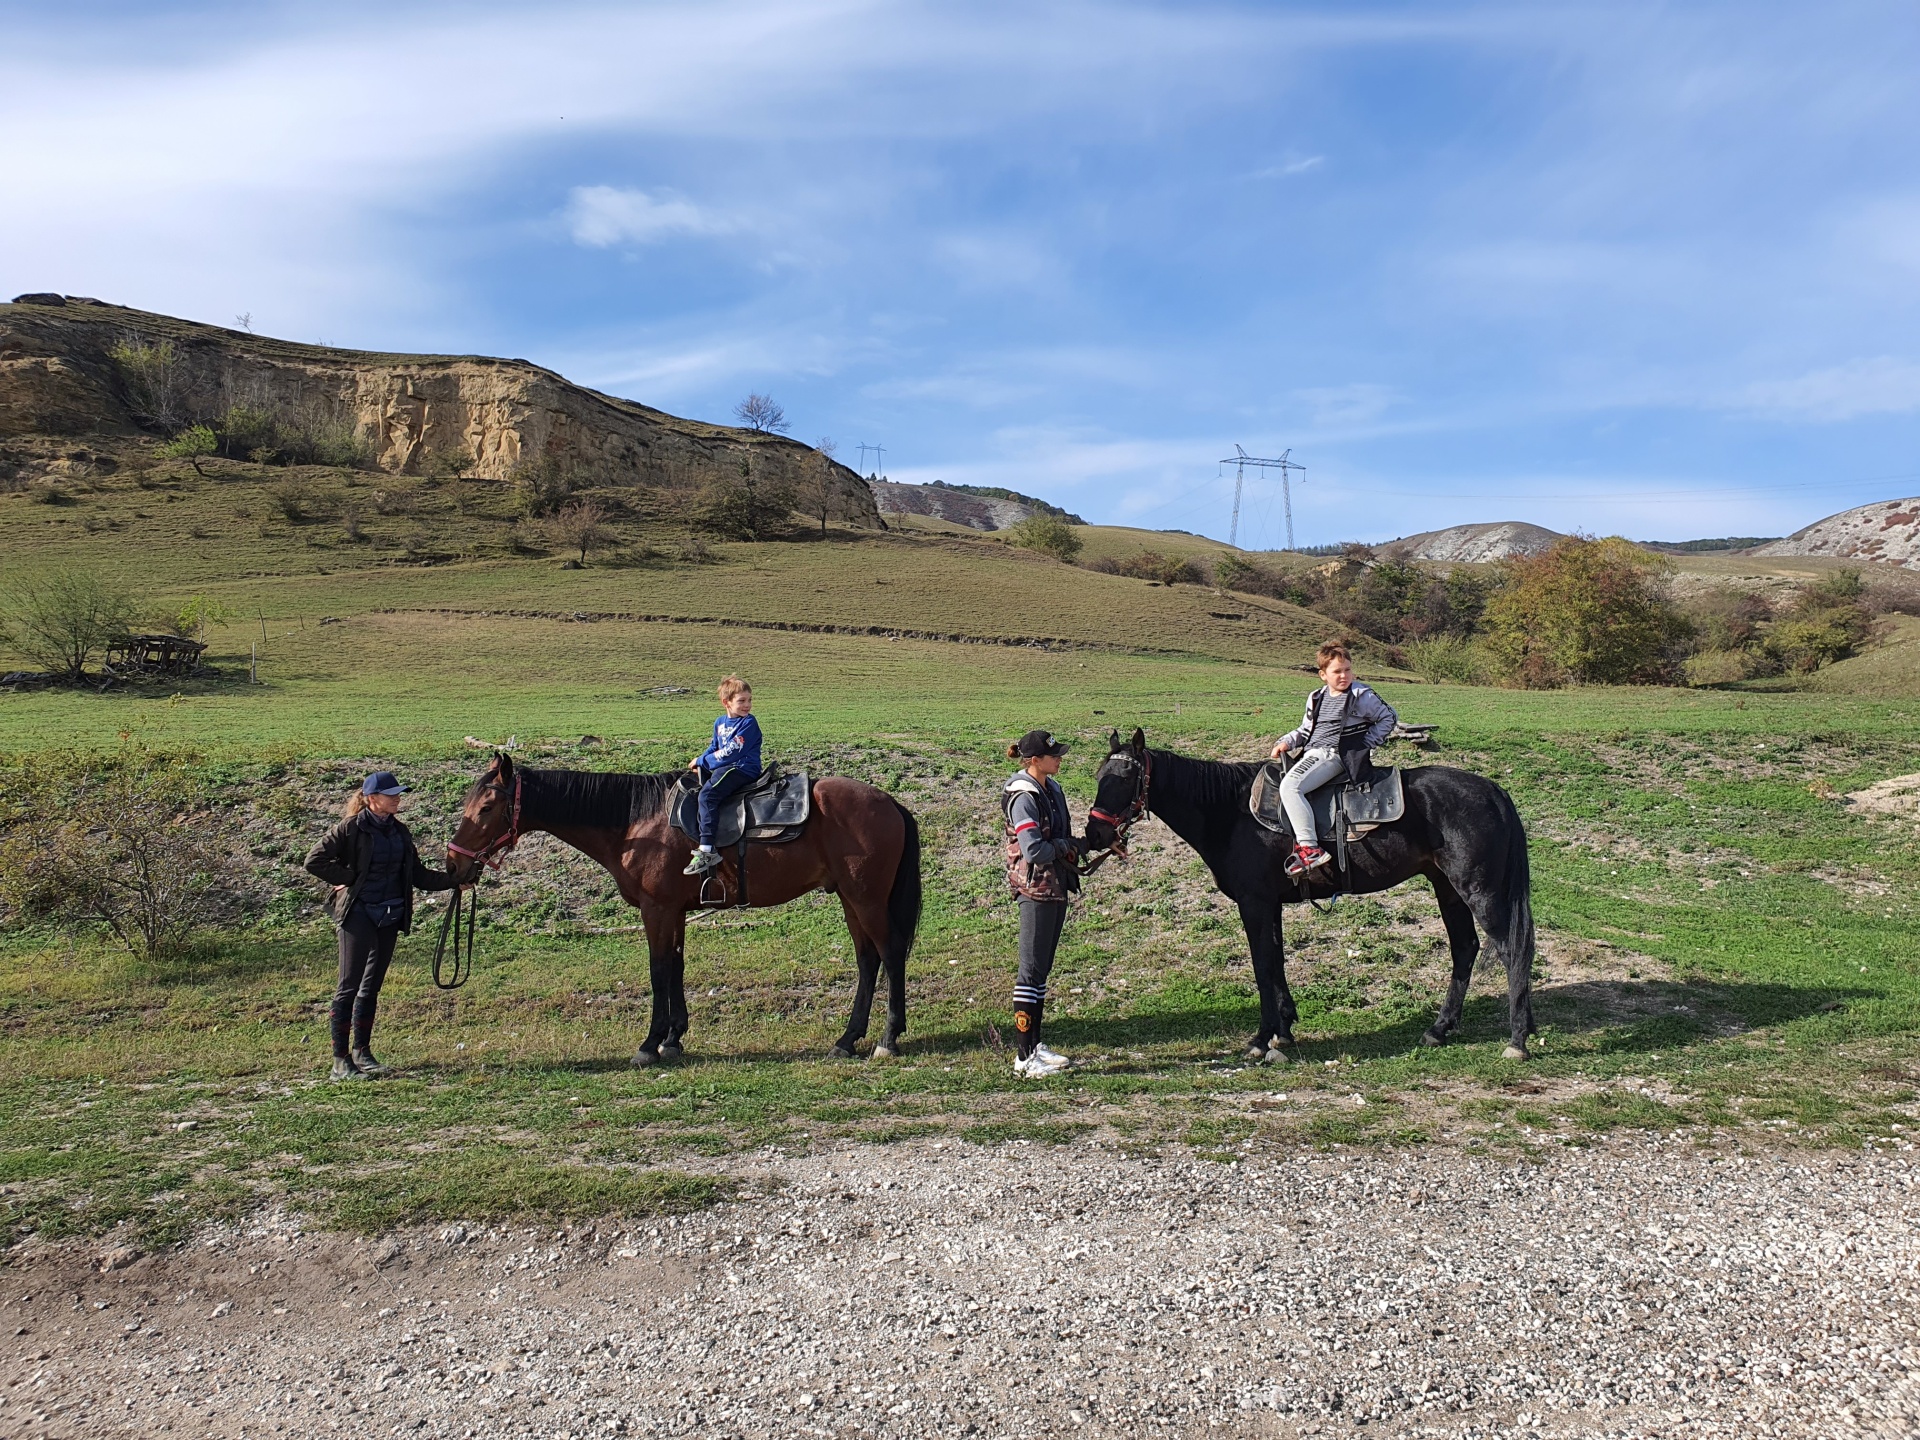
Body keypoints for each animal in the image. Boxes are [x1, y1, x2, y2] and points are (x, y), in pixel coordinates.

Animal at [443, 760, 921, 1067]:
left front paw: (649, 1043)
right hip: (850, 898)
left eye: (486, 808)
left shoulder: (656, 909)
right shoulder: (673, 911)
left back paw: (887, 1038)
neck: (636, 824)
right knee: (868, 960)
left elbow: (657, 970)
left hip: (866, 898)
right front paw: (673, 1038)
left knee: (890, 954)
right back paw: (847, 1039)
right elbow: (675, 967)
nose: (453, 867)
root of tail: (889, 802)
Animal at [1090, 733, 1536, 1059]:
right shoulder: (1270, 905)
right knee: (1465, 948)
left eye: (1125, 778)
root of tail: (1492, 790)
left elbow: (1262, 966)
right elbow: (1276, 963)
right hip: (1448, 888)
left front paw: (1261, 1038)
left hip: (1479, 891)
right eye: (1099, 776)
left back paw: (1517, 1038)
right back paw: (1441, 1029)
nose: (1095, 833)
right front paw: (1284, 1029)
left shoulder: (1254, 904)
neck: (1230, 811)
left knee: (1511, 950)